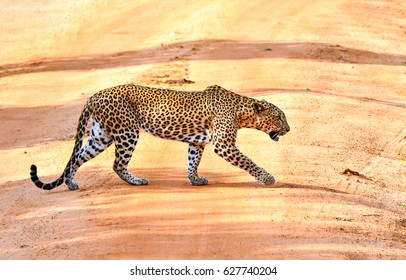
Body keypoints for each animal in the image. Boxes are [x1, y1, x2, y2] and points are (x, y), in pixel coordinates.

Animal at [30, 84, 288, 190]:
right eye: (279, 117)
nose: (288, 129)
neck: (241, 110)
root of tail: (94, 95)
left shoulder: (196, 142)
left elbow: (192, 162)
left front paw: (195, 179)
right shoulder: (223, 145)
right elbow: (249, 162)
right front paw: (267, 178)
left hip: (100, 136)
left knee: (77, 158)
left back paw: (71, 183)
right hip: (127, 132)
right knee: (117, 164)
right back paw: (137, 181)